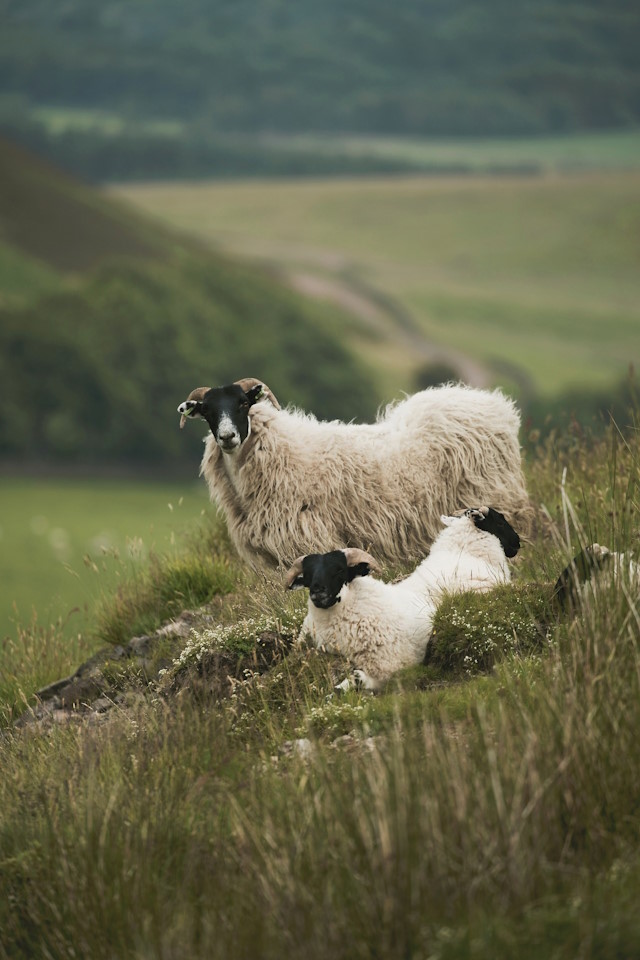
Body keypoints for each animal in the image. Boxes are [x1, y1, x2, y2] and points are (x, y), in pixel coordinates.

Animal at [178, 377, 530, 569]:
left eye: (242, 404)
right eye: (207, 411)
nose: (227, 437)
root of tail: (496, 404)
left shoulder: (308, 539)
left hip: (496, 498)